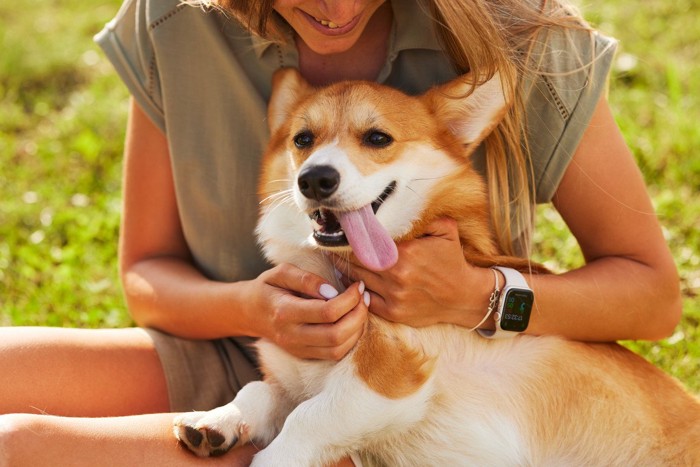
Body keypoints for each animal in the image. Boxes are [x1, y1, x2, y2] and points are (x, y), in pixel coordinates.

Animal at [175, 67, 700, 466]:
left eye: (378, 138)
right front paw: (215, 420)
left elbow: (308, 420)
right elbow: (259, 390)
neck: (335, 268)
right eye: (303, 139)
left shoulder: (388, 381)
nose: (314, 179)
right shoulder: (300, 379)